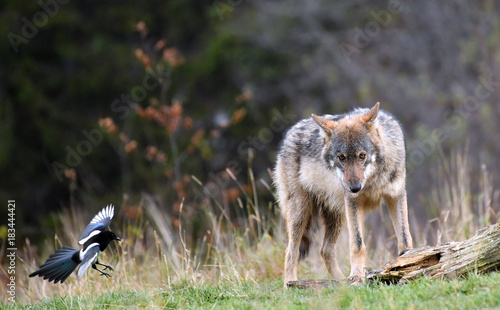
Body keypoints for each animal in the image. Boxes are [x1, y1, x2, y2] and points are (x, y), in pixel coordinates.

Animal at [276, 102, 412, 286]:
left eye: (362, 155)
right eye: (341, 157)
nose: (354, 188)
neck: (373, 180)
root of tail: (290, 133)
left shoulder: (396, 195)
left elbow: (405, 237)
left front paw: (408, 261)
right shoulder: (353, 202)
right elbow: (358, 244)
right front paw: (356, 276)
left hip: (337, 215)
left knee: (325, 250)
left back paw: (340, 283)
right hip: (301, 213)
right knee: (291, 250)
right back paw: (290, 283)